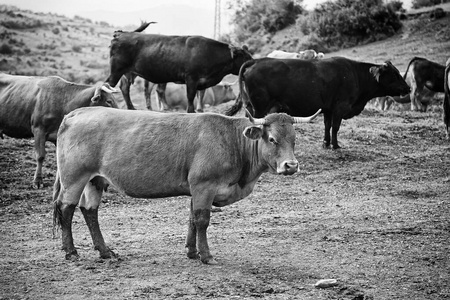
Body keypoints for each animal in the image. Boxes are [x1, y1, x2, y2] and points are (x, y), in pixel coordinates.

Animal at [51, 106, 320, 264]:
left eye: (294, 139)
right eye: (272, 139)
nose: (291, 166)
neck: (232, 141)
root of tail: (76, 113)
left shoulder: (197, 189)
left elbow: (192, 218)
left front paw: (192, 251)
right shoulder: (204, 185)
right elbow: (202, 220)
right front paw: (206, 255)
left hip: (94, 180)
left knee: (90, 210)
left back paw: (105, 251)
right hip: (74, 177)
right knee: (66, 208)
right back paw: (71, 251)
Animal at [104, 21, 253, 112]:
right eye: (245, 57)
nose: (252, 65)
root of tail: (122, 33)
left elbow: (198, 96)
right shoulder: (191, 78)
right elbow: (190, 97)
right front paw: (191, 111)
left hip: (128, 72)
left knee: (125, 87)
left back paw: (132, 108)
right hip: (117, 70)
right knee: (110, 85)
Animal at [227, 56, 410, 149]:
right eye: (394, 74)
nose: (408, 88)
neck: (355, 74)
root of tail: (257, 60)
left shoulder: (328, 109)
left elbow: (327, 126)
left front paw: (326, 143)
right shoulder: (340, 107)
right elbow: (335, 127)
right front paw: (335, 145)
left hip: (251, 107)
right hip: (259, 107)